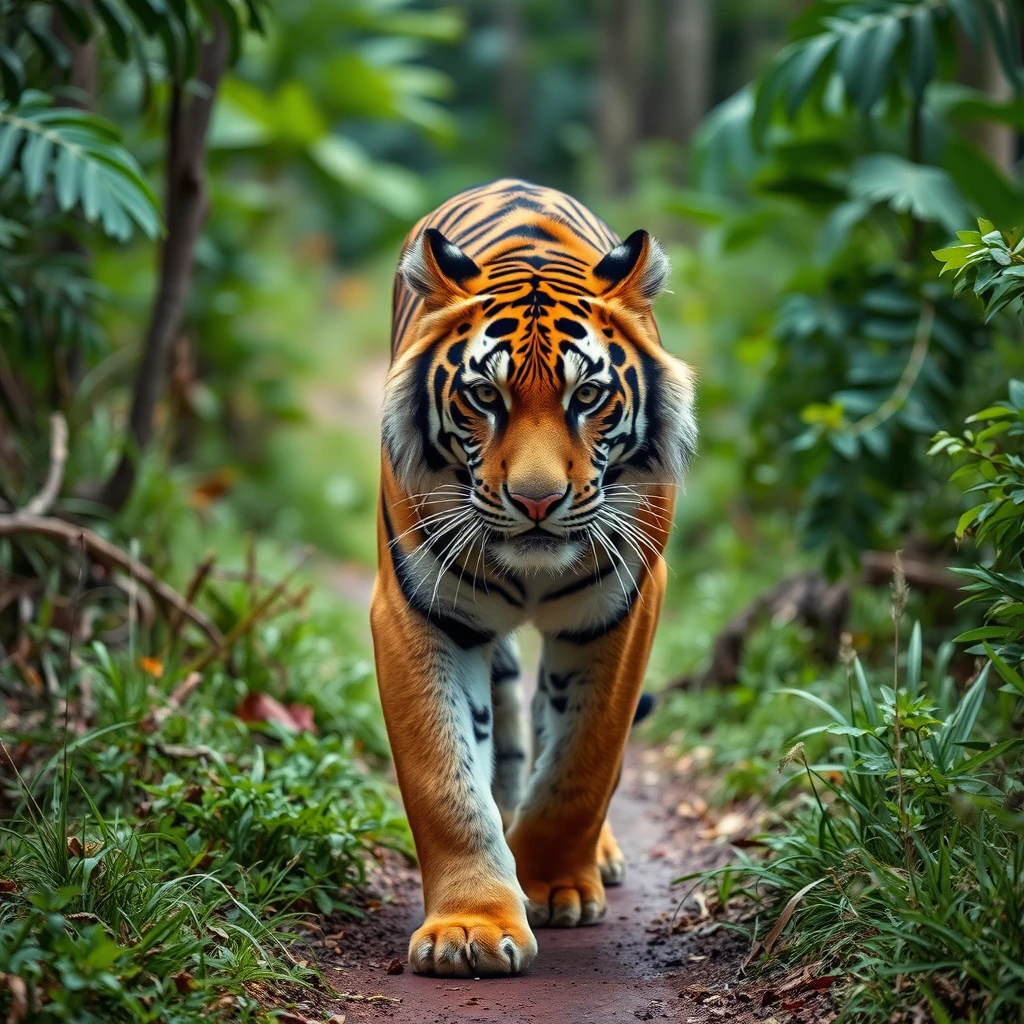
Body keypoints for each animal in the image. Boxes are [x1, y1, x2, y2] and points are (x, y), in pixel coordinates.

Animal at [370, 178, 696, 974]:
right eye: (486, 398)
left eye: (588, 397)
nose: (538, 501)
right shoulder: (416, 609)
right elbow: (446, 780)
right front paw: (472, 927)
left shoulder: (622, 608)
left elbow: (583, 762)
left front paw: (552, 885)